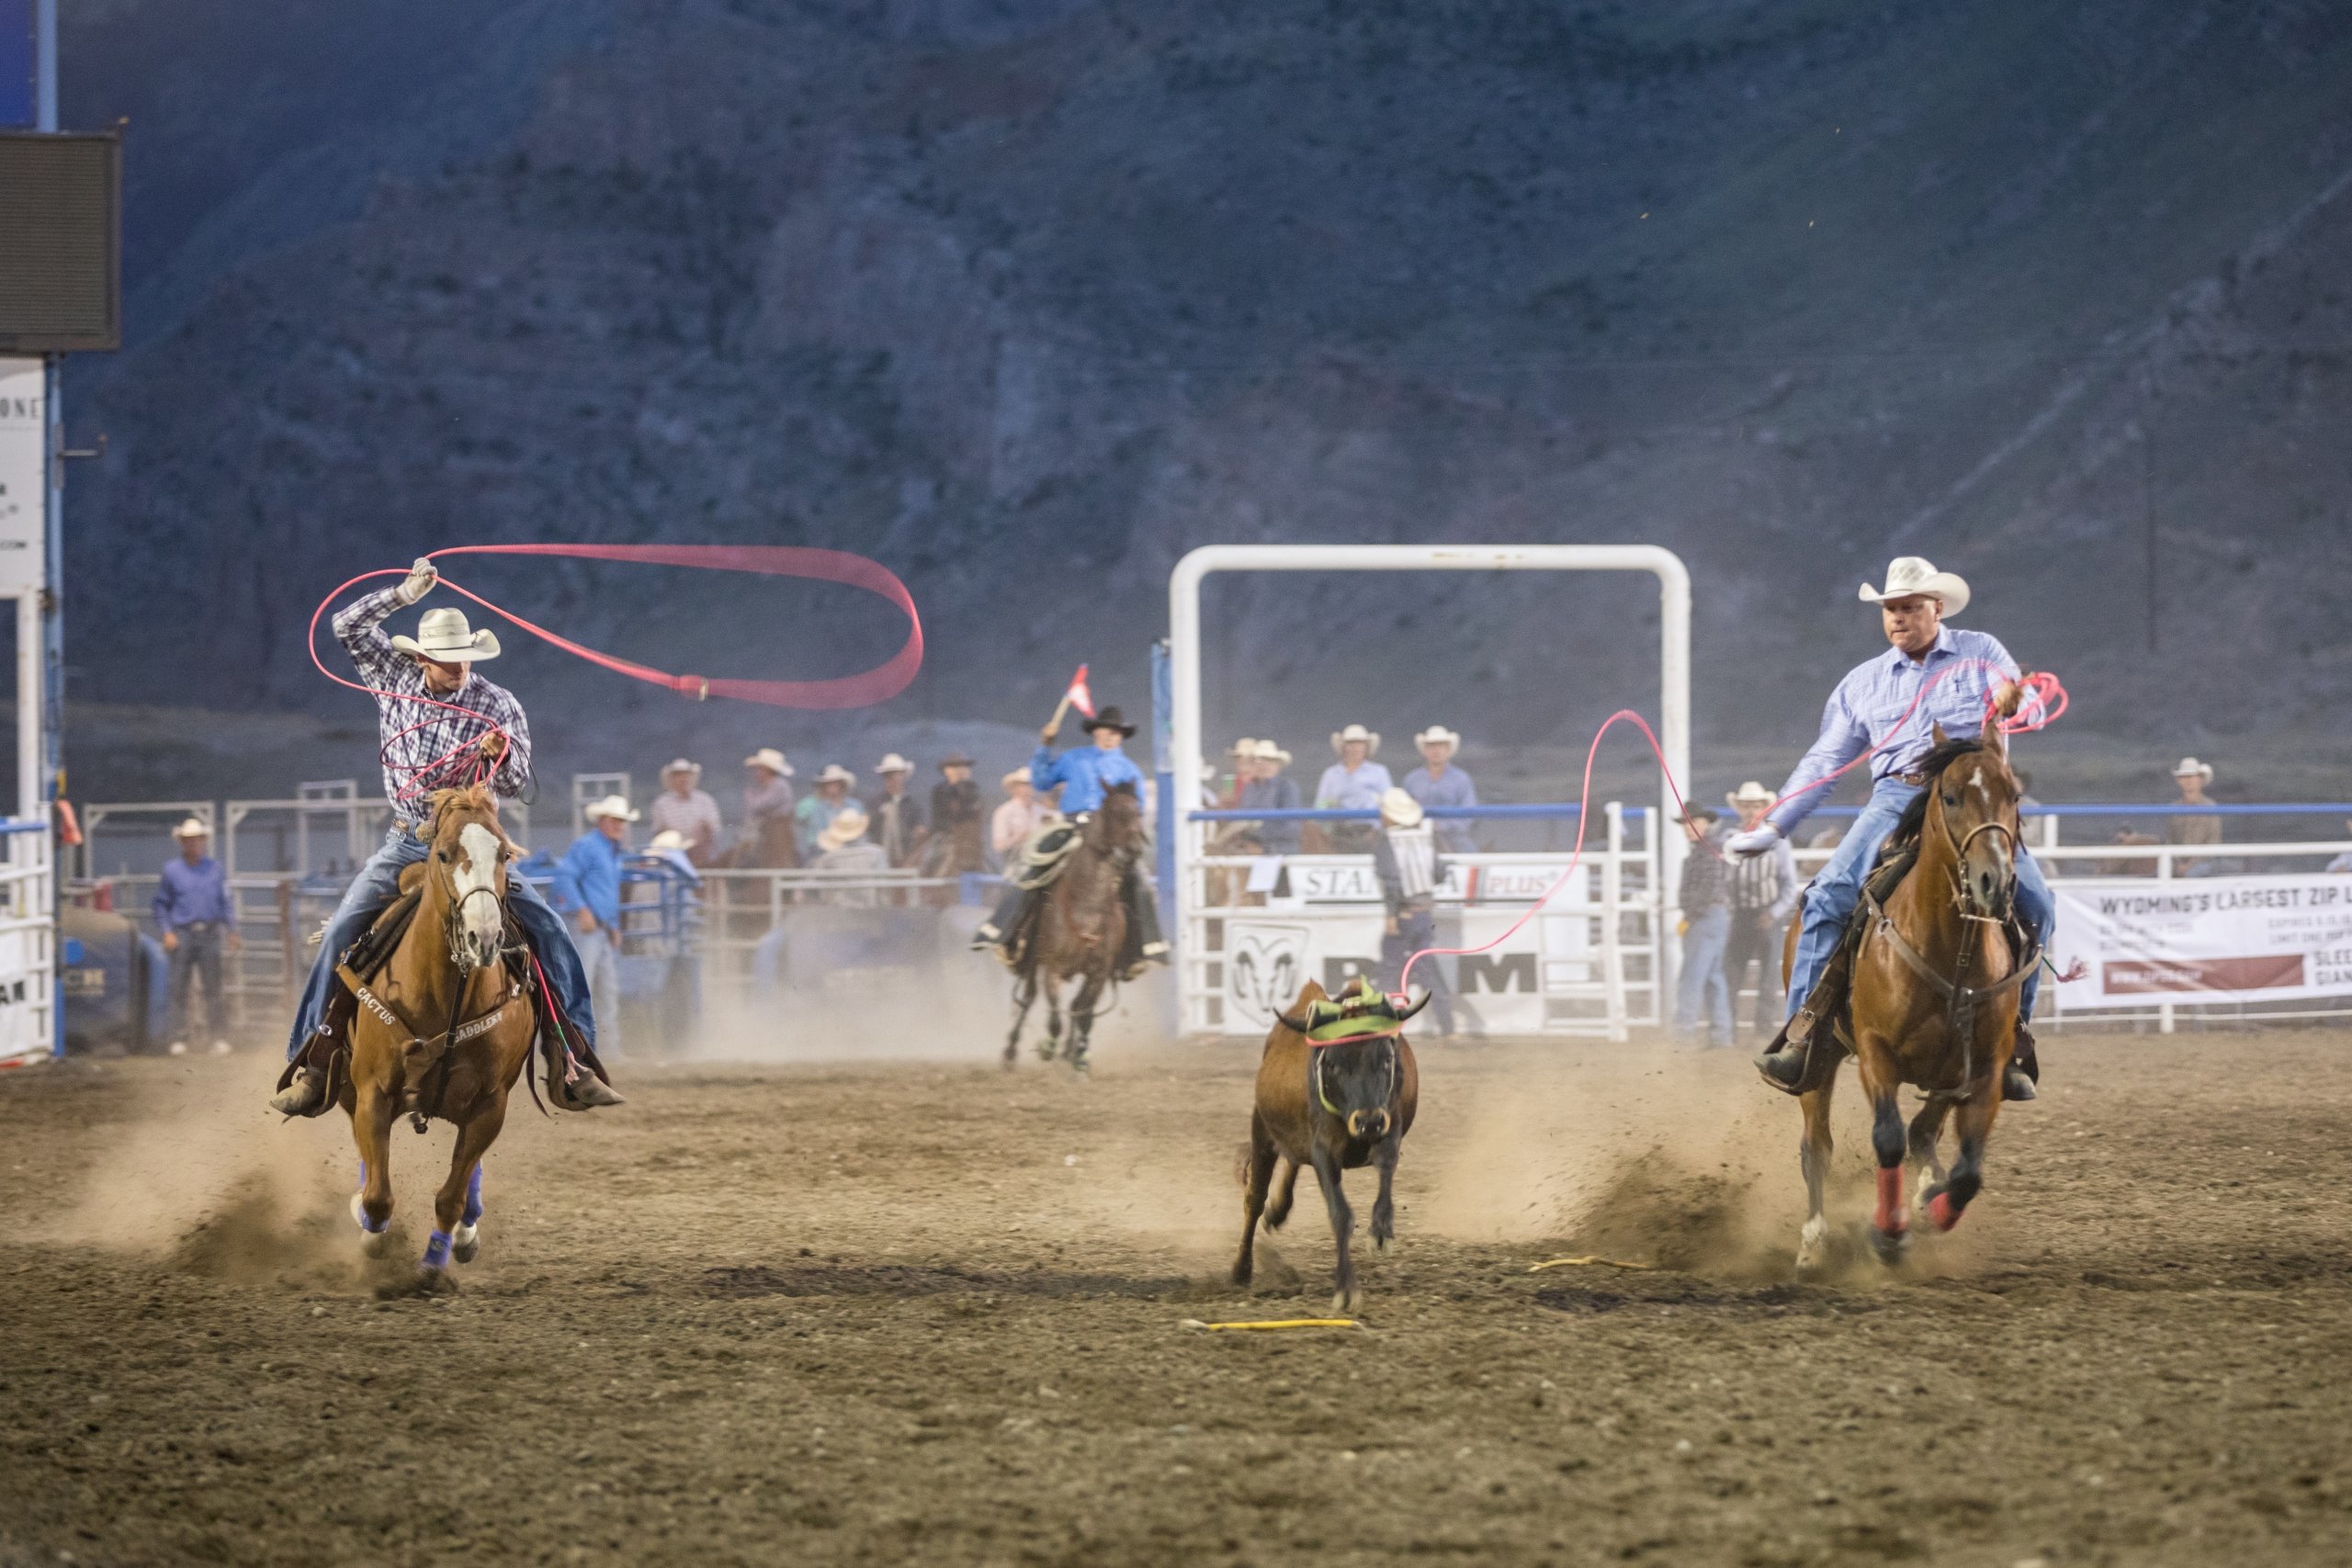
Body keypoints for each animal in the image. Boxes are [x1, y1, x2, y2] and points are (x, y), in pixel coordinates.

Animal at [343, 784, 538, 1288]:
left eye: (505, 855)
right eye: (445, 854)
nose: (483, 938)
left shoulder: (491, 1105)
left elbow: (451, 1195)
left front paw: (433, 1264)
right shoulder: (371, 1093)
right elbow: (378, 1196)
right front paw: (371, 1235)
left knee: (466, 1179)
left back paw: (466, 1231)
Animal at [1001, 784, 1148, 1081]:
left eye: (1138, 811)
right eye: (1114, 811)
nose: (1132, 850)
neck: (1087, 905)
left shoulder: (1099, 973)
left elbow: (1085, 1015)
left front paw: (1080, 1061)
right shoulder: (1052, 968)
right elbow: (1055, 1019)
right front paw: (1048, 1048)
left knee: (1075, 1007)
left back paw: (1071, 1052)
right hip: (1033, 960)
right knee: (1029, 999)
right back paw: (1011, 1052)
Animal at [1787, 719, 2031, 1279]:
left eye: (2013, 795)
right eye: (1951, 795)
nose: (1995, 882)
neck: (1949, 952)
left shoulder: (1985, 1069)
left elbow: (1967, 1172)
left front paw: (1929, 1206)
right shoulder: (1875, 1055)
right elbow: (1887, 1139)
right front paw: (1889, 1235)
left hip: (1945, 1074)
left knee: (1923, 1134)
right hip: (1820, 1059)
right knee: (1817, 1147)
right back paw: (1813, 1242)